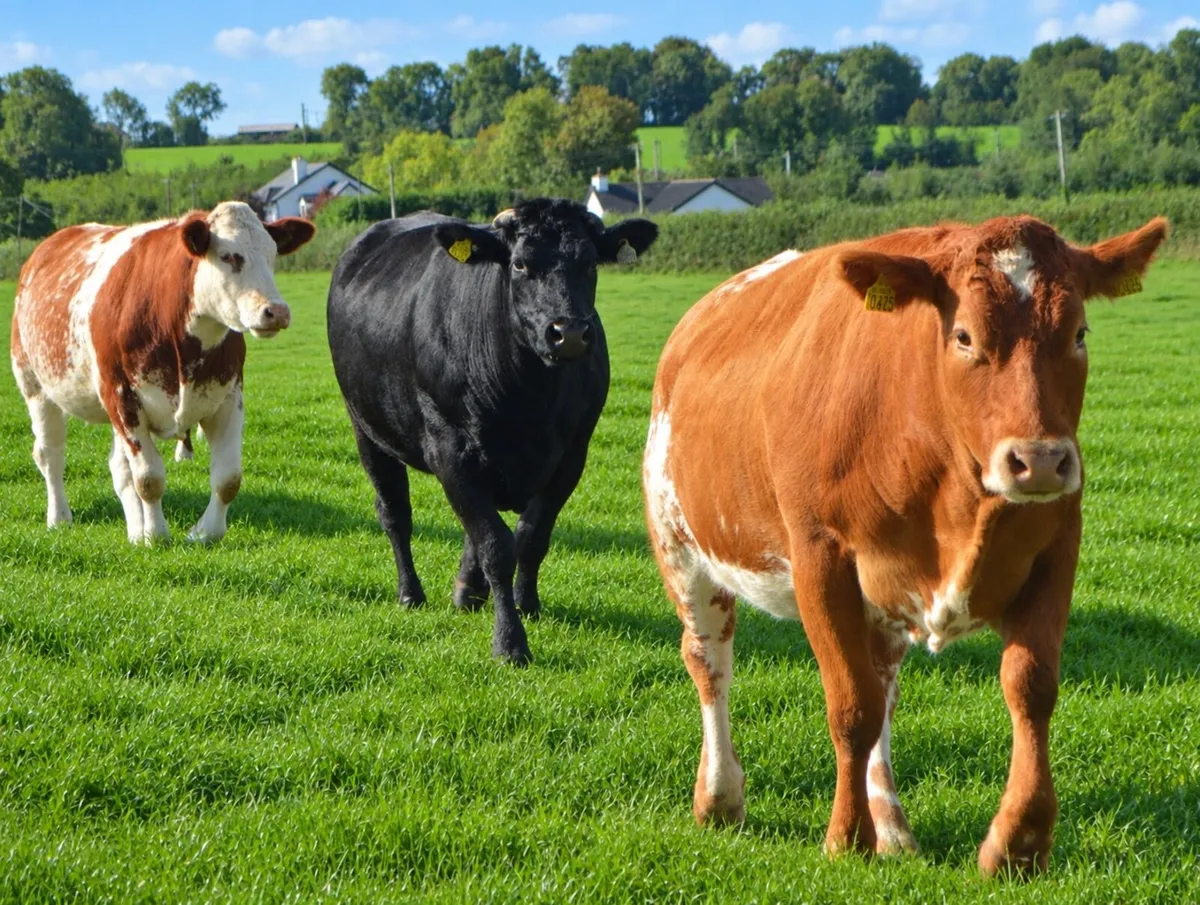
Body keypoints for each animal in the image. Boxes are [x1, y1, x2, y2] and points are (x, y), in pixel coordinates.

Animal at [11, 202, 315, 544]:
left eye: (272, 254)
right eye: (228, 256)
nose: (277, 311)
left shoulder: (228, 398)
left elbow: (228, 478)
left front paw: (203, 533)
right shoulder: (122, 398)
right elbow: (149, 478)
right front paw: (156, 536)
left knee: (119, 468)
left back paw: (134, 530)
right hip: (34, 384)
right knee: (49, 453)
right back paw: (60, 516)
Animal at [327, 199, 658, 665]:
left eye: (591, 262)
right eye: (519, 264)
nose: (570, 333)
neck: (530, 398)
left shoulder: (572, 455)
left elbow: (531, 536)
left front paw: (527, 604)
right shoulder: (450, 451)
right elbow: (496, 546)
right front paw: (510, 641)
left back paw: (467, 590)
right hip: (367, 430)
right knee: (394, 514)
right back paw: (411, 594)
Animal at [642, 216, 1168, 874]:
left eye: (1079, 333)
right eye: (964, 336)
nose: (1041, 460)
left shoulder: (1056, 551)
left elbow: (1030, 688)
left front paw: (1019, 842)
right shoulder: (820, 561)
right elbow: (851, 707)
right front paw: (845, 837)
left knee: (884, 683)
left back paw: (891, 824)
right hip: (681, 546)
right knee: (709, 660)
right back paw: (719, 797)